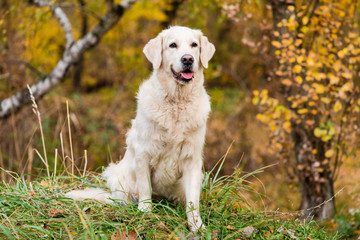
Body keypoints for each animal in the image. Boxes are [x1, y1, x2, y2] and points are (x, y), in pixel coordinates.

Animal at [65, 25, 214, 232]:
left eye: (194, 45)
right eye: (172, 45)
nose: (188, 59)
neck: (176, 103)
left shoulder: (192, 158)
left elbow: (193, 200)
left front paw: (197, 225)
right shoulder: (144, 153)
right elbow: (145, 187)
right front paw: (145, 212)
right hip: (115, 173)